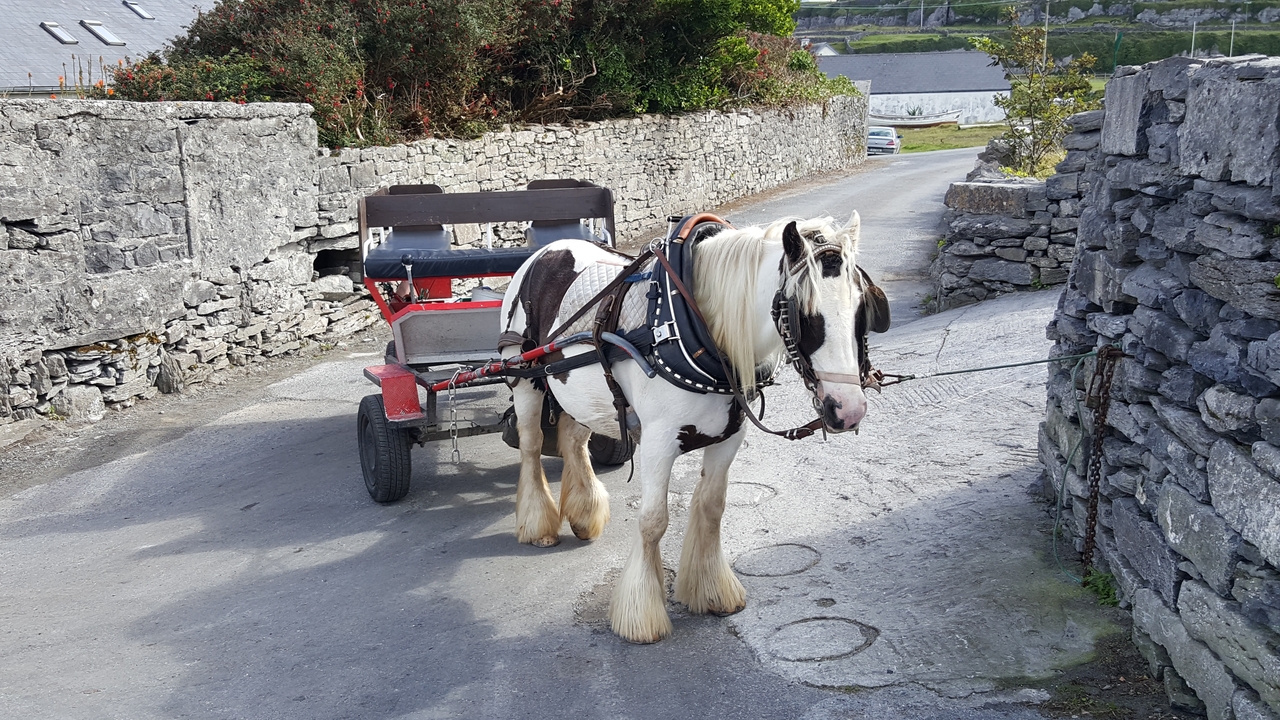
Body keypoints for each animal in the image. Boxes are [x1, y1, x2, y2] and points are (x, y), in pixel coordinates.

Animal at [498, 211, 887, 643]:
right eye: (806, 315)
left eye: (862, 310)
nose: (849, 409)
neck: (691, 326)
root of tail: (547, 250)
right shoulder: (656, 443)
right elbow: (653, 521)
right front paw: (642, 613)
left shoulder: (729, 437)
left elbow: (713, 507)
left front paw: (711, 590)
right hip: (525, 377)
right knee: (532, 444)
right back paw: (538, 524)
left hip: (581, 393)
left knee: (572, 439)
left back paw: (583, 513)